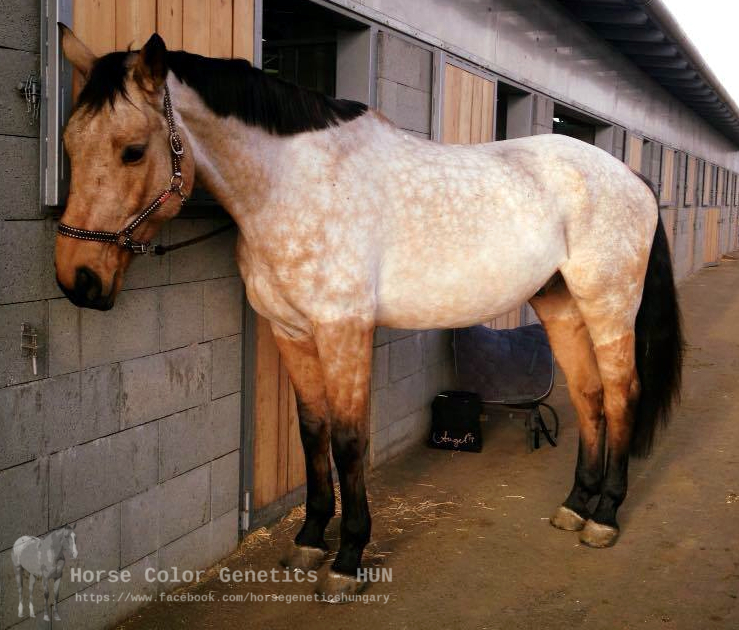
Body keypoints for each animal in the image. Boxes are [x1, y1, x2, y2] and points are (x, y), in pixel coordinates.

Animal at [55, 28, 683, 601]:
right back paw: (575, 505)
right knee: (589, 397)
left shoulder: (344, 331)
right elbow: (312, 433)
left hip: (608, 306)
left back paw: (604, 517)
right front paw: (309, 540)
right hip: (562, 306)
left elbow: (349, 439)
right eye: (67, 144)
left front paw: (348, 558)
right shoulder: (290, 332)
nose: (76, 278)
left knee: (621, 396)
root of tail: (633, 178)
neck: (294, 186)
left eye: (133, 150)